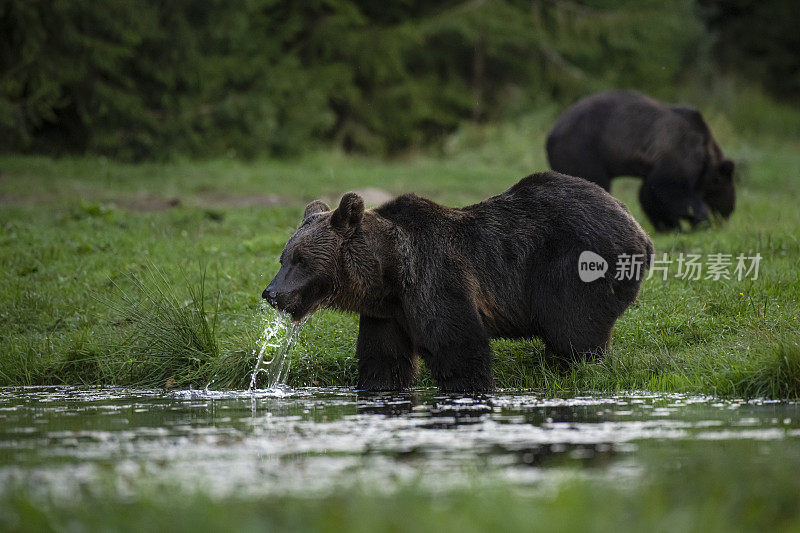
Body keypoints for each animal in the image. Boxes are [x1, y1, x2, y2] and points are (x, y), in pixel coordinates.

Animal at [266, 171, 652, 390]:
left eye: (301, 260)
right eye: (284, 258)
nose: (271, 293)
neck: (389, 272)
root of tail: (637, 227)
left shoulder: (437, 279)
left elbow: (459, 347)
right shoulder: (386, 314)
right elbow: (385, 361)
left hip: (576, 265)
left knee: (574, 332)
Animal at [548, 90, 736, 231]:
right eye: (726, 191)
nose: (727, 214)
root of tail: (551, 133)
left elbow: (650, 194)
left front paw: (667, 225)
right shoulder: (678, 152)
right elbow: (672, 189)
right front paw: (700, 220)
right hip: (584, 149)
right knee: (594, 181)